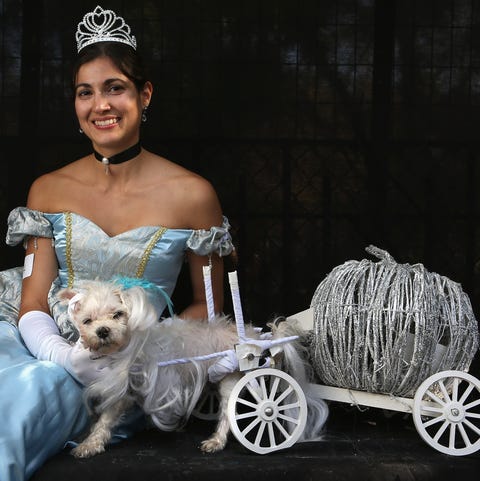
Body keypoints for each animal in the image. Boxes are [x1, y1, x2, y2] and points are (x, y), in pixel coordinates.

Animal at [58, 282, 328, 458]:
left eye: (118, 315)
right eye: (87, 321)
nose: (103, 331)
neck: (125, 348)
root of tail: (252, 336)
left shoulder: (125, 392)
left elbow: (105, 419)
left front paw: (89, 443)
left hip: (230, 378)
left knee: (230, 412)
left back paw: (217, 440)